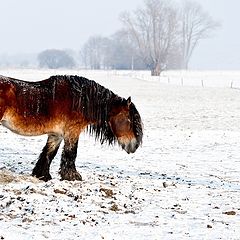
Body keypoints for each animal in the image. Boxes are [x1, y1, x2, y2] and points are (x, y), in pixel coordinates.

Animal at [0, 74, 142, 181]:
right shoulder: (72, 131)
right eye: (129, 121)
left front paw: (42, 175)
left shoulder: (56, 134)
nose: (134, 146)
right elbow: (71, 152)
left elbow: (49, 153)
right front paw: (72, 176)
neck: (81, 100)